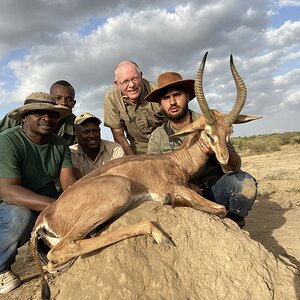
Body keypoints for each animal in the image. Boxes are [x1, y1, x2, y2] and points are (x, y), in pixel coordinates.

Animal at [29, 52, 260, 298]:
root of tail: (45, 216)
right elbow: (220, 208)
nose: (224, 158)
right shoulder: (173, 186)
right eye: (208, 133)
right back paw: (161, 235)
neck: (174, 161)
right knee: (61, 251)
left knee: (55, 260)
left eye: (229, 132)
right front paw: (174, 202)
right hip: (119, 192)